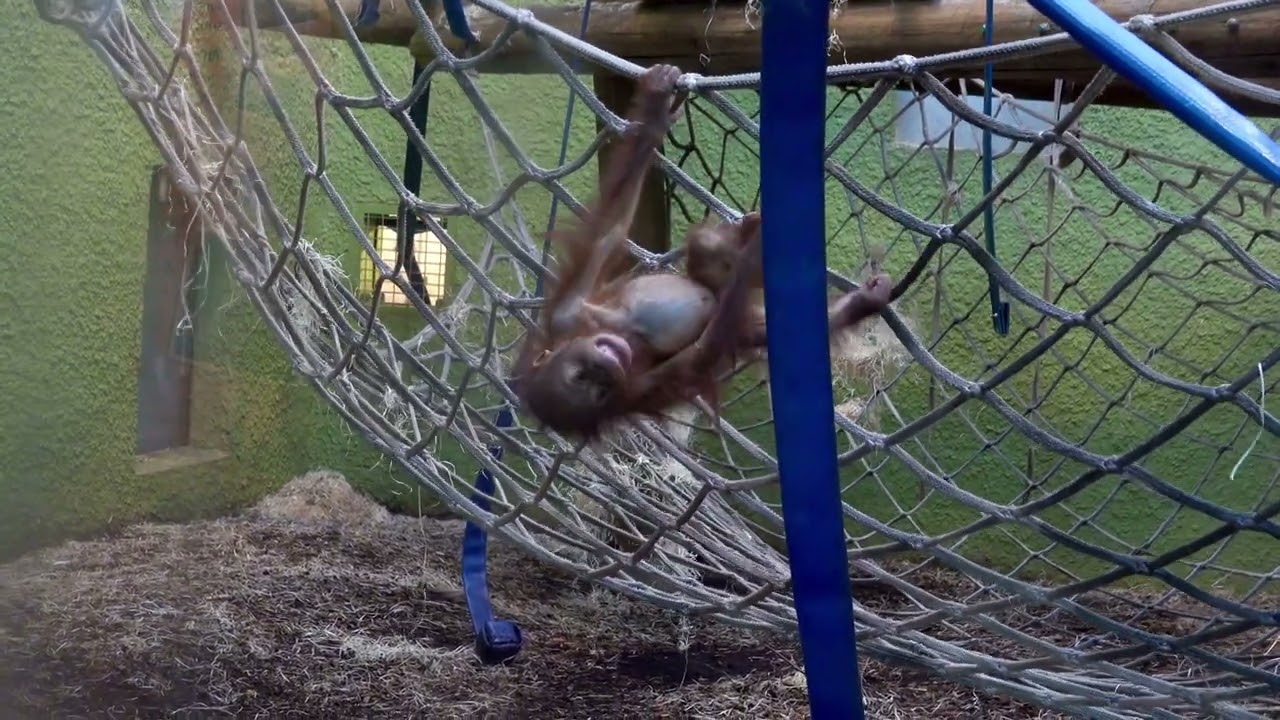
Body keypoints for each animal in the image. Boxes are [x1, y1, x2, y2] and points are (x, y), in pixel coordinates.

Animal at [511, 63, 894, 440]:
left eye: (587, 373)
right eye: (592, 386)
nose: (606, 366)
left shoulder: (566, 317)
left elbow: (610, 230)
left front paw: (654, 115)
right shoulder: (633, 390)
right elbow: (701, 353)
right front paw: (754, 254)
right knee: (750, 316)